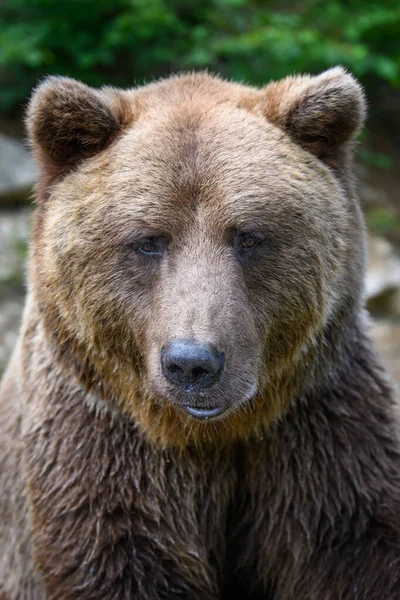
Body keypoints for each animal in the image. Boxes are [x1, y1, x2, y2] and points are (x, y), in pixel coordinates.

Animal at [0, 67, 400, 600]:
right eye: (148, 241)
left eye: (249, 236)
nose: (192, 362)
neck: (212, 434)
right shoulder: (102, 449)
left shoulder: (318, 433)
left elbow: (356, 543)